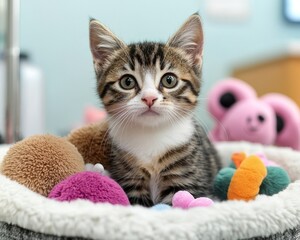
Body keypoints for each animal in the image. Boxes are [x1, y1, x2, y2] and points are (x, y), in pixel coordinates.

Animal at [89, 14, 220, 206]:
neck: (152, 135)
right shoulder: (129, 179)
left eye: (169, 80)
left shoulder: (188, 179)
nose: (149, 98)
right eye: (127, 82)